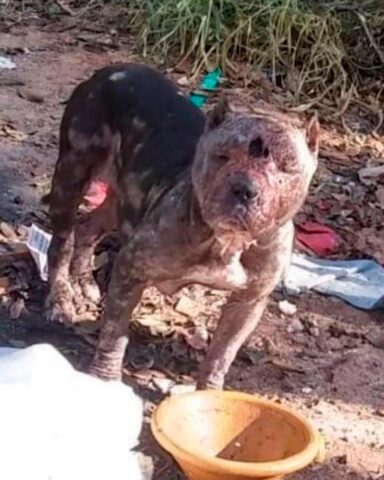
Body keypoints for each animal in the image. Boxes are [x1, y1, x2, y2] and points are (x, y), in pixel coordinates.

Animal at [46, 63, 320, 388]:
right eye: (222, 156)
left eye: (287, 168)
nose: (245, 188)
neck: (226, 242)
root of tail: (108, 71)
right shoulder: (131, 268)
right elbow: (114, 336)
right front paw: (105, 378)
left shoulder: (248, 302)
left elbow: (221, 355)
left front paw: (210, 392)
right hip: (73, 173)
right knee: (61, 241)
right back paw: (60, 297)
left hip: (124, 197)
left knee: (89, 225)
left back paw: (84, 279)